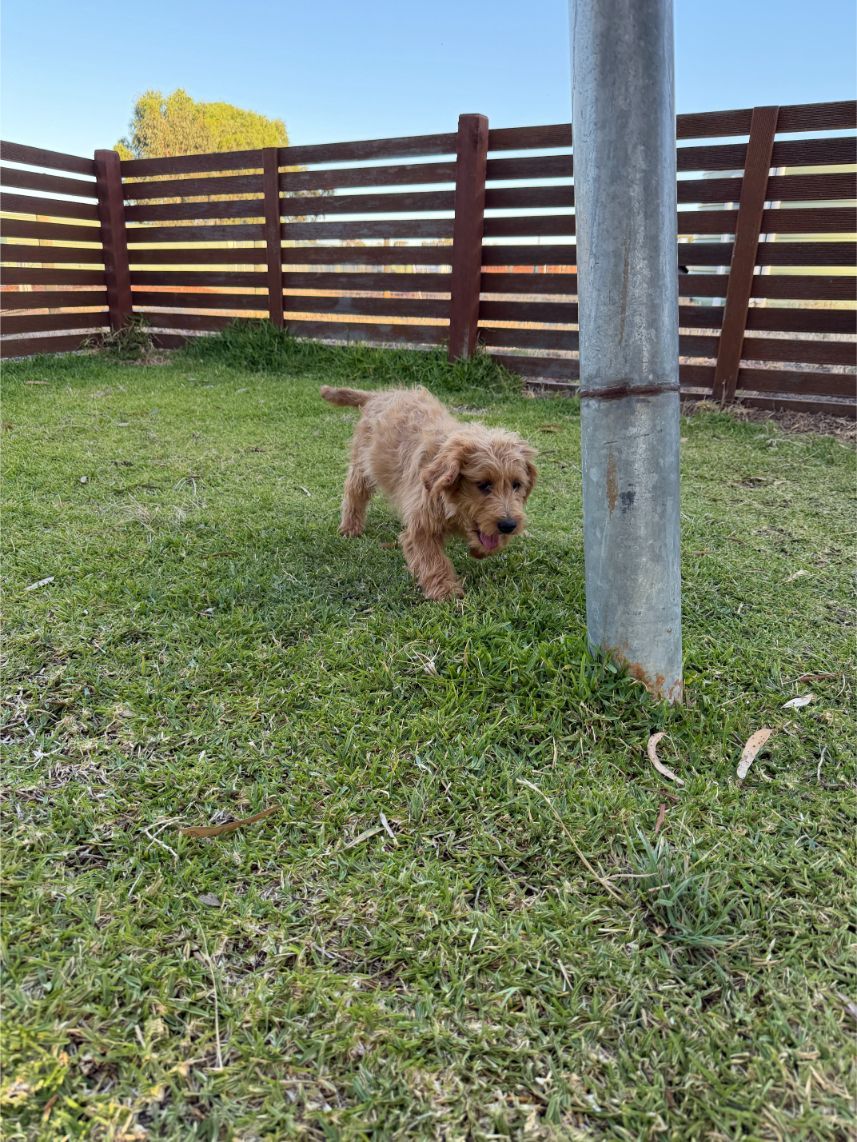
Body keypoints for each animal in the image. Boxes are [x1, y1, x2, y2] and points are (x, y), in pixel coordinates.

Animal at [321, 385, 537, 601]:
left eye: (517, 485)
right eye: (483, 485)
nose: (509, 525)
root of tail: (379, 395)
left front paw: (479, 550)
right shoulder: (422, 524)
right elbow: (433, 559)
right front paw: (445, 589)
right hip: (362, 464)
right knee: (354, 492)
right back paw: (350, 527)